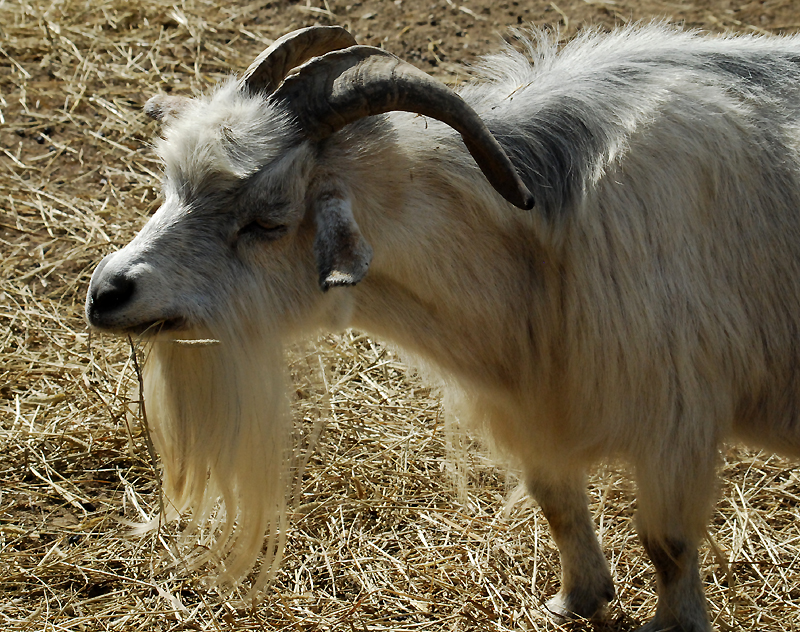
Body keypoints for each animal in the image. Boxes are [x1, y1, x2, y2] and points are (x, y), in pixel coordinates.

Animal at [83, 23, 800, 632]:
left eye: (268, 220)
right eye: (170, 184)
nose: (106, 292)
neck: (542, 237)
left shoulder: (676, 416)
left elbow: (668, 542)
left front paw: (673, 622)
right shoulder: (534, 408)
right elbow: (558, 502)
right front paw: (577, 599)